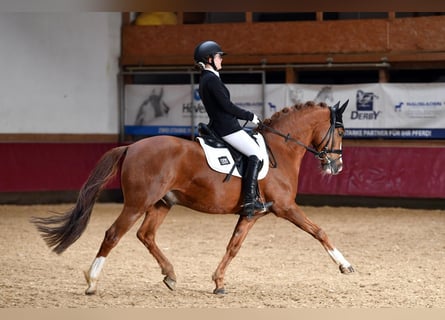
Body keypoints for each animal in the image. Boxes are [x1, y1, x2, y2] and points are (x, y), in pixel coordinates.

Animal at [32, 99, 354, 296]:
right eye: (340, 131)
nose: (337, 166)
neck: (280, 150)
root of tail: (131, 146)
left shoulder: (251, 214)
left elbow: (233, 247)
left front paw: (219, 282)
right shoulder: (286, 208)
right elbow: (319, 231)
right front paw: (345, 265)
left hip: (162, 203)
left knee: (145, 235)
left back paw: (170, 275)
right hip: (137, 203)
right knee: (113, 234)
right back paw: (92, 282)